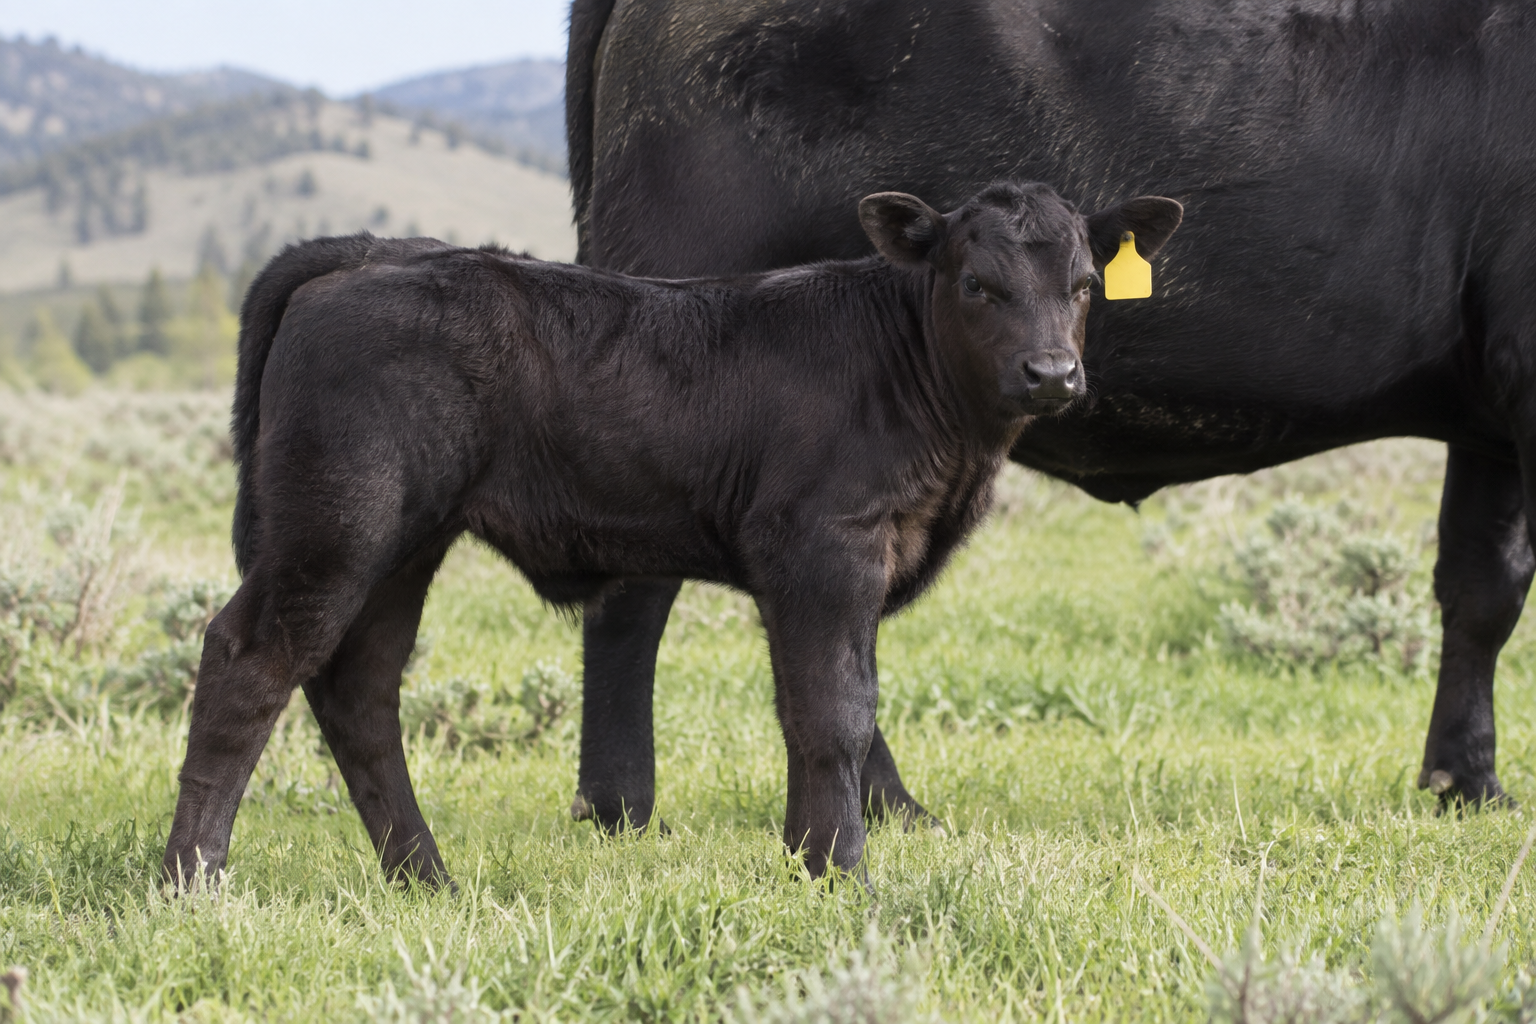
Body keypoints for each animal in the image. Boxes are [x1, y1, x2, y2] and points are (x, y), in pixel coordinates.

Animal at [159, 184, 1182, 886]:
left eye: (1084, 285)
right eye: (976, 283)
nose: (1052, 374)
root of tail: (368, 252)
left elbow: (810, 710)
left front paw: (806, 860)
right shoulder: (825, 549)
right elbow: (836, 713)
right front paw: (840, 871)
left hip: (404, 544)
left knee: (359, 688)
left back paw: (426, 878)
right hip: (341, 522)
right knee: (249, 658)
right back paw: (191, 880)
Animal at [563, 0, 1536, 832]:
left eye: (1083, 284)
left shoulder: (1493, 407)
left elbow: (1482, 587)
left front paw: (1465, 782)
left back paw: (889, 807)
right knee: (641, 589)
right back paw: (621, 808)